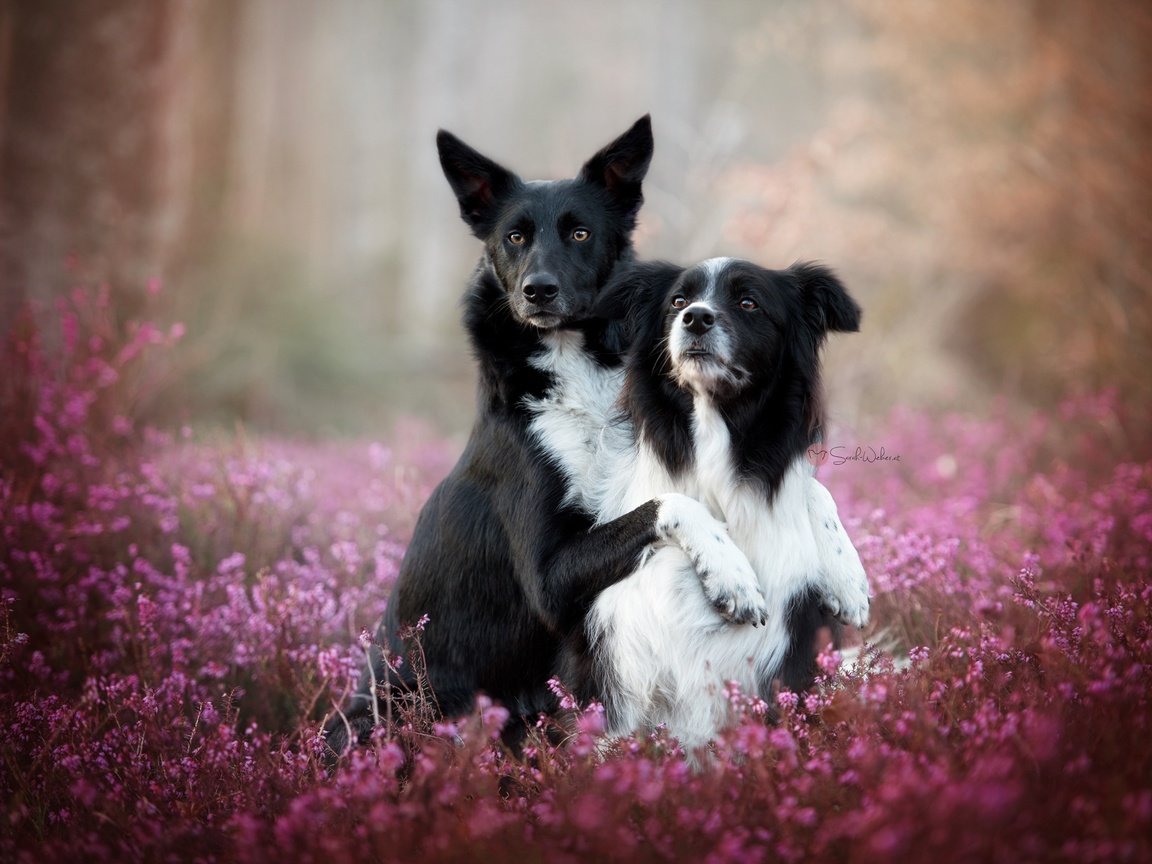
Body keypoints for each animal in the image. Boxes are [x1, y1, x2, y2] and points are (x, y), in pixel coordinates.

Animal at [324, 116, 769, 755]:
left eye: (581, 233)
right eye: (514, 237)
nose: (538, 290)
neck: (572, 371)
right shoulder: (548, 581)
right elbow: (672, 504)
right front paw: (732, 575)